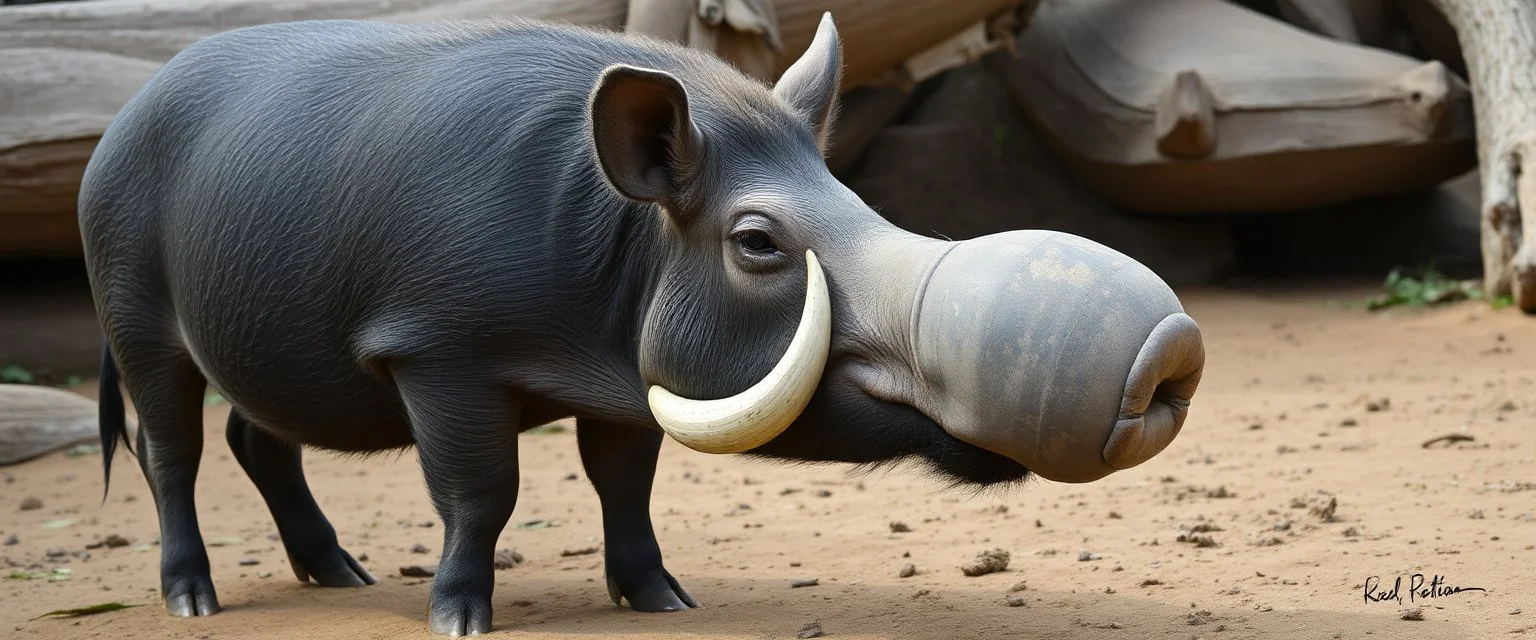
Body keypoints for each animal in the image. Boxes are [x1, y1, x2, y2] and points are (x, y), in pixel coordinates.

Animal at [79, 14, 1204, 636]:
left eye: (854, 197)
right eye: (758, 241)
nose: (1171, 347)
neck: (608, 267)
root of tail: (112, 130)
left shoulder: (619, 384)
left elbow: (624, 483)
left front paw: (665, 603)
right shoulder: (439, 351)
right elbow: (482, 492)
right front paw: (459, 620)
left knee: (255, 435)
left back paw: (342, 574)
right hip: (134, 308)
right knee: (170, 445)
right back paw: (194, 602)